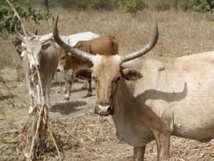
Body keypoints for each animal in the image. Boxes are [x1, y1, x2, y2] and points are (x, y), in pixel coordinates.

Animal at [53, 15, 214, 161]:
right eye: (94, 77)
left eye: (118, 77)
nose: (103, 108)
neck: (133, 94)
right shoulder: (138, 140)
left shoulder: (163, 132)